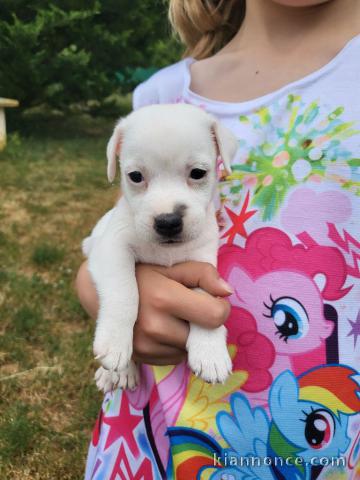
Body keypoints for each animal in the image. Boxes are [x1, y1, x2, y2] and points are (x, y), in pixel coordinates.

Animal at [83, 103, 238, 392]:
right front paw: (115, 342)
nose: (168, 221)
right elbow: (124, 292)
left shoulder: (202, 261)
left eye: (198, 173)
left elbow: (205, 296)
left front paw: (210, 350)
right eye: (135, 176)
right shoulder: (110, 249)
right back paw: (118, 373)